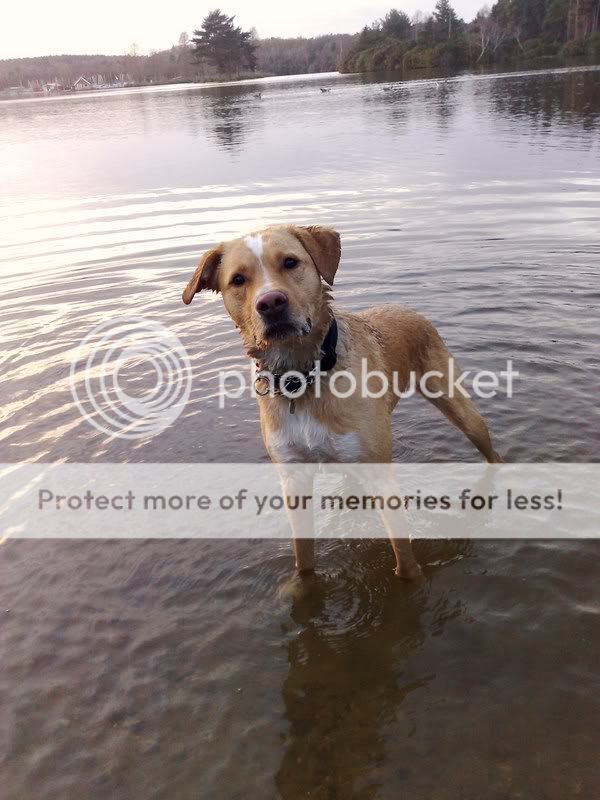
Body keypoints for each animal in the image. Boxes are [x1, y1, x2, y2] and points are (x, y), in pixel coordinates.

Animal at [183, 225, 502, 580]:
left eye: (290, 262)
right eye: (238, 280)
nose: (271, 302)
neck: (301, 379)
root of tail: (407, 308)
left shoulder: (380, 476)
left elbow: (404, 558)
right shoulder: (294, 480)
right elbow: (303, 558)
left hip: (460, 410)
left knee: (489, 450)